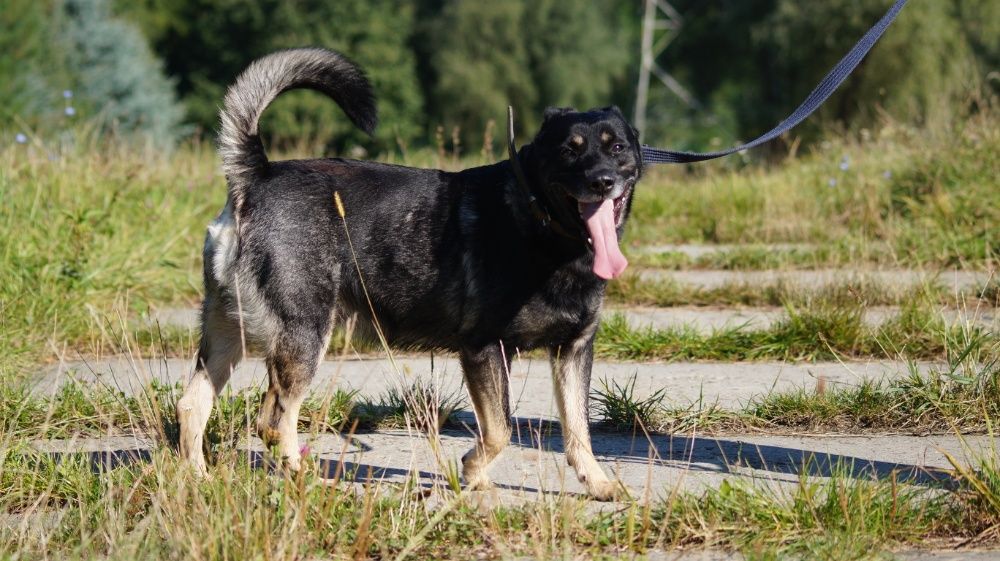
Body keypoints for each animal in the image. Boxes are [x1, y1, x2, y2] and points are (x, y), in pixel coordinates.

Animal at [176, 47, 644, 498]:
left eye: (617, 148)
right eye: (569, 149)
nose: (602, 181)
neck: (541, 225)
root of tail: (256, 176)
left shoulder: (573, 349)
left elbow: (577, 429)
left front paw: (596, 483)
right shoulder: (483, 348)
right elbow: (500, 429)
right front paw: (473, 470)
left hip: (226, 333)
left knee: (192, 404)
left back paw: (199, 478)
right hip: (303, 337)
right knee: (274, 421)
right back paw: (310, 482)